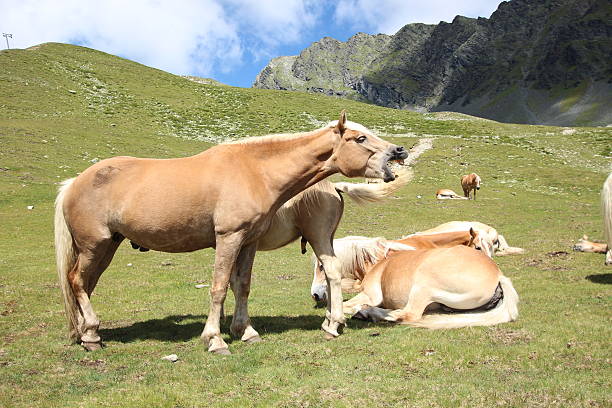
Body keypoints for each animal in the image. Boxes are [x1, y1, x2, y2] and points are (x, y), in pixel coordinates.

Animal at [53, 111, 406, 354]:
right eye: (360, 139)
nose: (398, 151)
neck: (255, 171)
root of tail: (74, 183)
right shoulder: (228, 238)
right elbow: (220, 286)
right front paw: (215, 339)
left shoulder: (247, 241)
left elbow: (242, 285)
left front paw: (245, 331)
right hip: (94, 246)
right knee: (77, 281)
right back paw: (91, 334)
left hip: (106, 246)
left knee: (84, 284)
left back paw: (86, 333)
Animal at [342, 245, 520, 328]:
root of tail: (499, 275)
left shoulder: (369, 295)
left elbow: (345, 304)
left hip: (423, 284)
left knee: (409, 314)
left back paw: (367, 312)